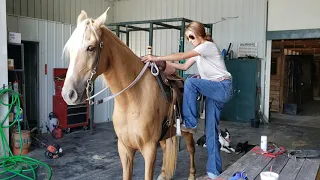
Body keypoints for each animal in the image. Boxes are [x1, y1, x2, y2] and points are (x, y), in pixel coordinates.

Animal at [60, 9, 195, 180]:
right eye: (70, 49)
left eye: (91, 47)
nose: (68, 94)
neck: (132, 100)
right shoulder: (124, 149)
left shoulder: (150, 150)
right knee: (166, 148)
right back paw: (164, 174)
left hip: (186, 131)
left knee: (191, 148)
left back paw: (192, 175)